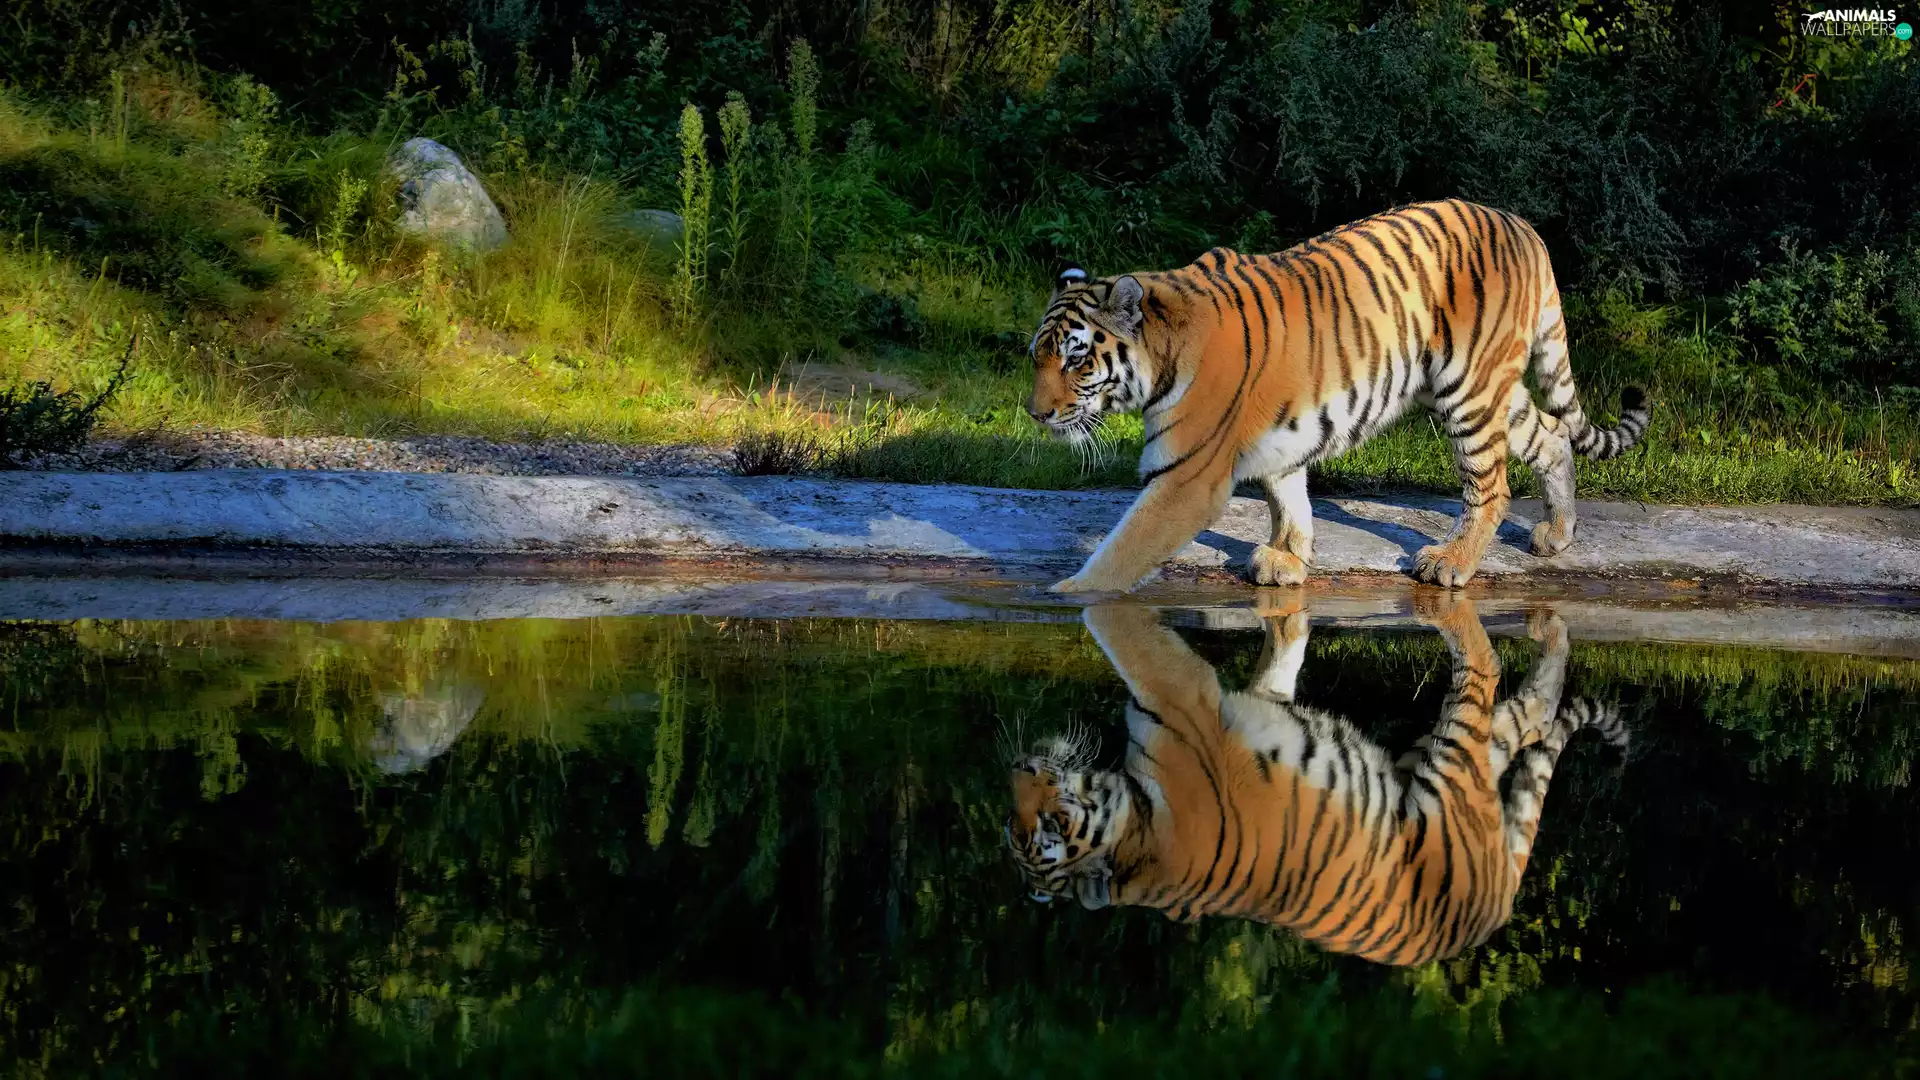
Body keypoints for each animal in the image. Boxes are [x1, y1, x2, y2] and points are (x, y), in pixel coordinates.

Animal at [1005, 593, 1627, 966]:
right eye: (1023, 824)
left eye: (1050, 823)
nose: (1020, 769)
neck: (1136, 835)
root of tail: (1489, 920)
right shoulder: (1188, 704)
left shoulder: (1184, 701)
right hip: (1455, 769)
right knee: (1515, 700)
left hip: (1447, 762)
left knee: (1507, 688)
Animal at [1026, 198, 1650, 591]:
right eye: (1037, 355)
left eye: (1076, 358)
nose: (1036, 413)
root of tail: (1525, 227)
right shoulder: (1280, 436)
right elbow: (1287, 496)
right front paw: (1288, 558)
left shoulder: (1187, 477)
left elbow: (1123, 549)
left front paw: (1068, 595)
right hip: (1486, 389)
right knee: (1553, 434)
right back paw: (1557, 535)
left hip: (1468, 391)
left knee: (1492, 487)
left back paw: (1449, 563)